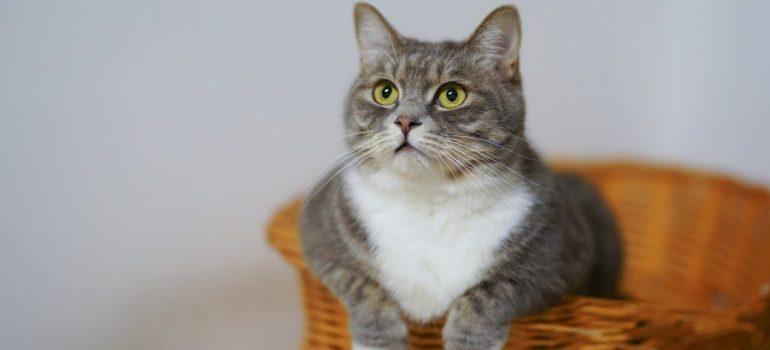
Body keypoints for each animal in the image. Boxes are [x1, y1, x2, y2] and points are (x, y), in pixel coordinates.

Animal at [296, 3, 620, 350]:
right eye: (385, 92)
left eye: (452, 95)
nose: (405, 120)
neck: (429, 202)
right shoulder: (320, 236)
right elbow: (363, 285)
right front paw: (378, 340)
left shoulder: (557, 259)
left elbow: (489, 293)